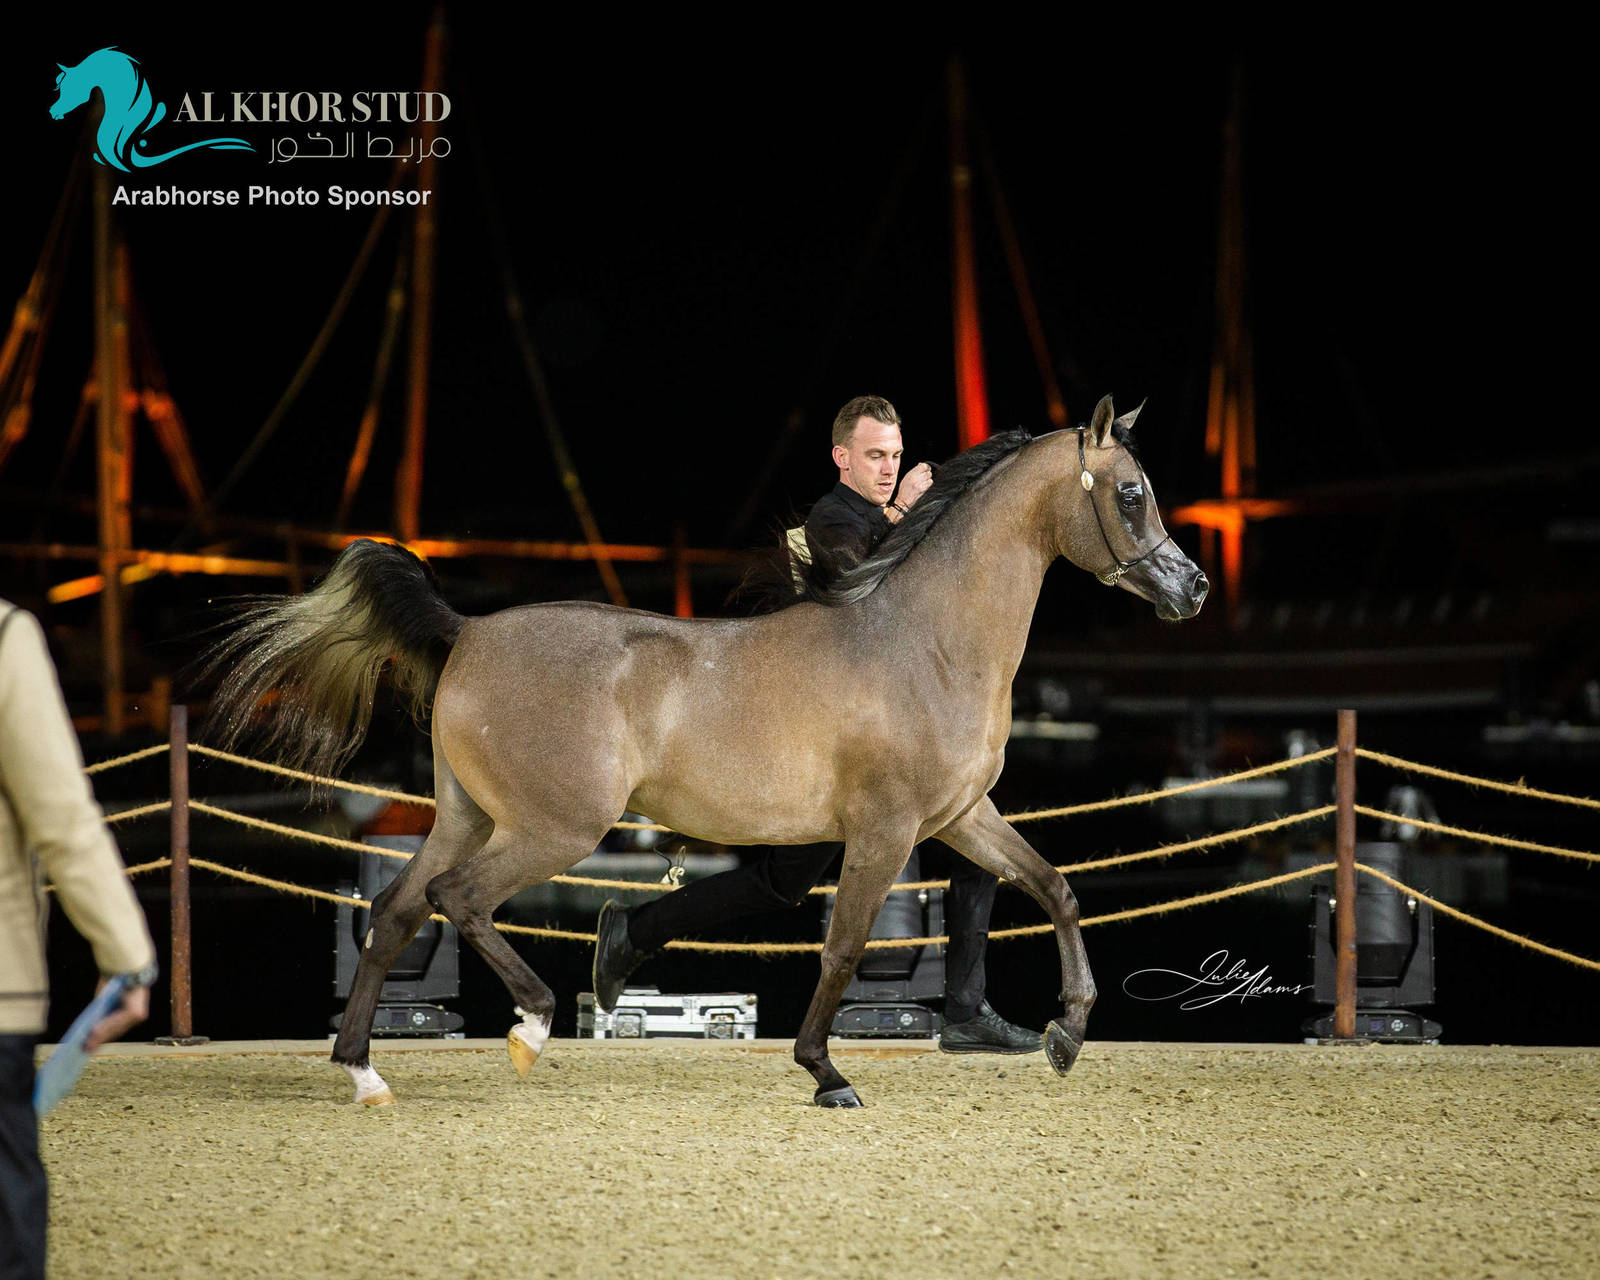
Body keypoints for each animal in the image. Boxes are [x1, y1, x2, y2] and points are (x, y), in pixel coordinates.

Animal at [201, 394, 1207, 1107]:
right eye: (1130, 493)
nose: (1190, 588)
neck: (923, 639)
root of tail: (469, 630)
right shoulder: (884, 832)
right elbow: (842, 946)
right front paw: (826, 1073)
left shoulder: (960, 816)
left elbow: (1055, 887)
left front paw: (1065, 1034)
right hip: (553, 828)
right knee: (458, 901)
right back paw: (534, 1024)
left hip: (466, 816)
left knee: (397, 912)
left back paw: (365, 1070)